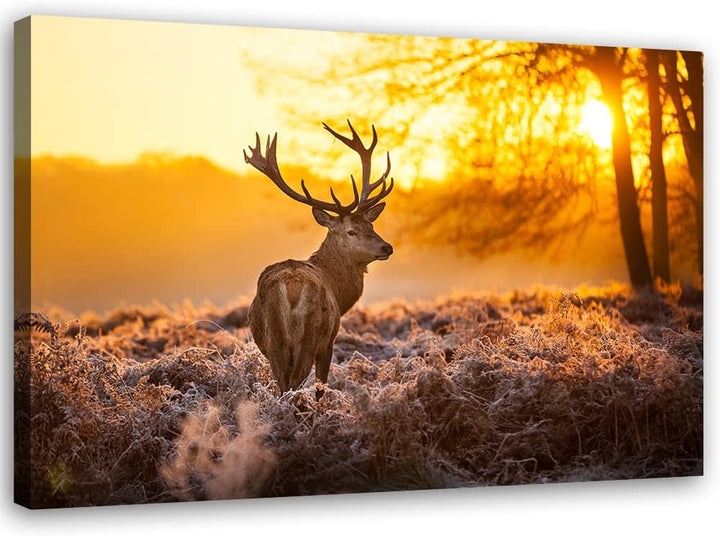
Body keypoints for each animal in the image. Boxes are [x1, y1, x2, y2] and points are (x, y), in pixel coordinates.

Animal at [243, 120, 394, 400]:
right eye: (351, 231)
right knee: (294, 384)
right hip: (310, 336)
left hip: (274, 341)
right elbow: (321, 386)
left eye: (371, 225)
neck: (338, 290)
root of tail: (291, 287)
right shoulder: (329, 341)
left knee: (282, 384)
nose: (387, 247)